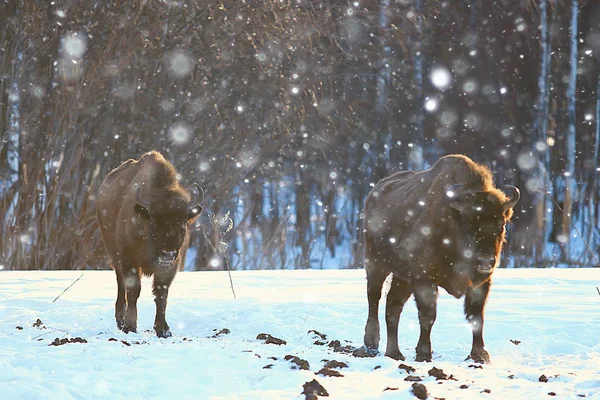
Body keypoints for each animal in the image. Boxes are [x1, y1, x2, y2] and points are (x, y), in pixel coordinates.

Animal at [96, 152, 204, 340]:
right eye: (153, 220)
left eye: (184, 221)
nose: (168, 253)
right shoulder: (129, 259)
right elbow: (133, 290)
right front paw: (130, 326)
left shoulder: (171, 267)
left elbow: (161, 294)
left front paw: (163, 330)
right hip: (115, 256)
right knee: (121, 284)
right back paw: (120, 321)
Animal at [360, 155, 520, 364]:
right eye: (468, 224)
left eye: (501, 224)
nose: (486, 261)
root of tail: (373, 194)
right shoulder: (425, 280)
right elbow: (428, 316)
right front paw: (424, 354)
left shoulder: (481, 283)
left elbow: (477, 316)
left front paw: (480, 355)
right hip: (376, 264)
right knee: (374, 297)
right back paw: (372, 343)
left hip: (402, 277)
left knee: (393, 307)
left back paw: (394, 353)